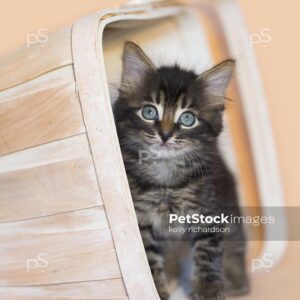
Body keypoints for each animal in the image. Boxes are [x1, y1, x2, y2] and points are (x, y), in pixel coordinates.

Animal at [112, 42, 248, 300]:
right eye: (149, 112)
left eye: (187, 118)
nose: (165, 135)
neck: (166, 181)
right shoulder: (142, 219)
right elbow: (150, 258)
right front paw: (157, 289)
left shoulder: (208, 212)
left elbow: (207, 253)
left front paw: (209, 289)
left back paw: (238, 280)